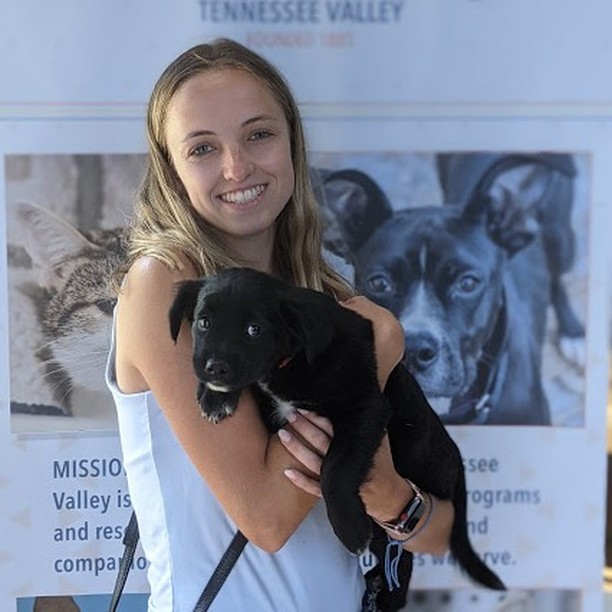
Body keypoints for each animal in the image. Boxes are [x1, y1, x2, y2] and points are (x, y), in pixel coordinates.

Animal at [170, 268, 504, 612]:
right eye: (204, 322)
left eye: (254, 330)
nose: (215, 368)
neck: (292, 359)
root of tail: (456, 455)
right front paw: (215, 396)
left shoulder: (365, 408)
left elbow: (336, 468)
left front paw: (349, 529)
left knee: (402, 555)